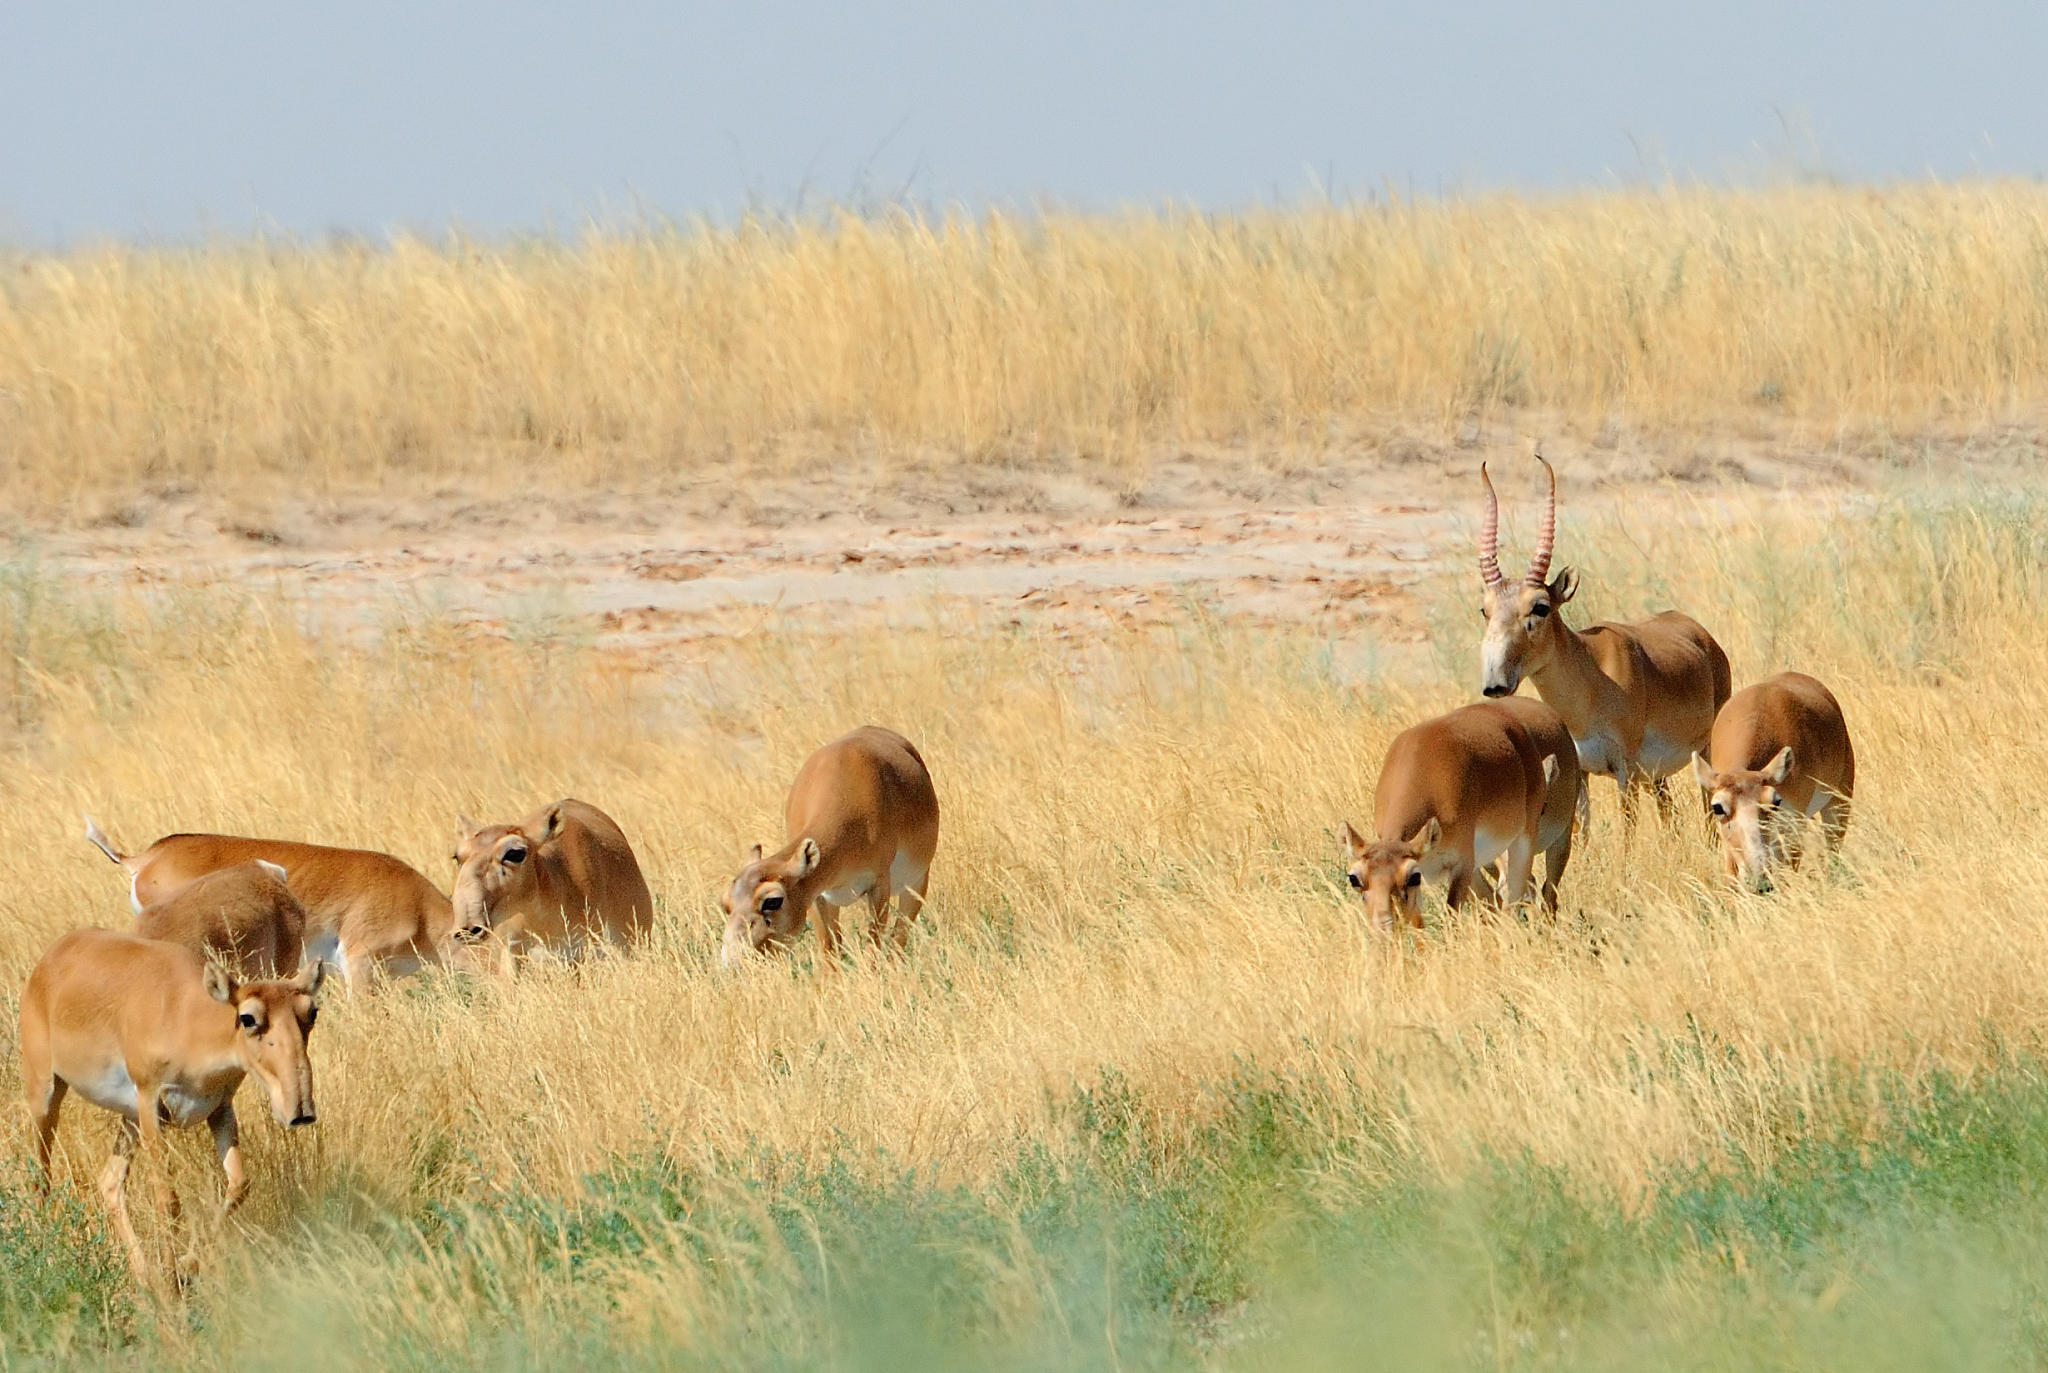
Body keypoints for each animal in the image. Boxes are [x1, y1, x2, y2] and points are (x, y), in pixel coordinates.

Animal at [20, 929, 322, 1284]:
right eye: (248, 1018)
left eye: (311, 1012)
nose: (300, 1111)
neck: (186, 1015)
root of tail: (51, 958)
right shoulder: (153, 1105)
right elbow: (168, 1199)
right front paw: (171, 1279)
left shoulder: (220, 1110)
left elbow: (238, 1184)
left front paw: (186, 1268)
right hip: (47, 1096)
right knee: (41, 1177)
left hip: (129, 1119)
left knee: (109, 1182)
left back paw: (142, 1274)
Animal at [722, 726, 939, 967]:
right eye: (726, 904)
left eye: (772, 901)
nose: (732, 959)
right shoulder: (818, 894)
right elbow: (830, 952)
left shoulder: (879, 885)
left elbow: (873, 947)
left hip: (916, 885)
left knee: (899, 938)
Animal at [1341, 701, 1559, 933]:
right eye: (1354, 878)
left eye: (1412, 876)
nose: (1384, 927)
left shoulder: (1462, 865)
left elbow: (1451, 915)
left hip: (1521, 844)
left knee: (1514, 900)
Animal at [1477, 455, 1731, 828]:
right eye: (1485, 609)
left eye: (1540, 607)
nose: (1495, 683)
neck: (1592, 679)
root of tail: (1702, 636)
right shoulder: (1581, 771)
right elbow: (1583, 830)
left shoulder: (1625, 771)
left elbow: (1627, 829)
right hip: (1657, 775)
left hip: (1704, 751)